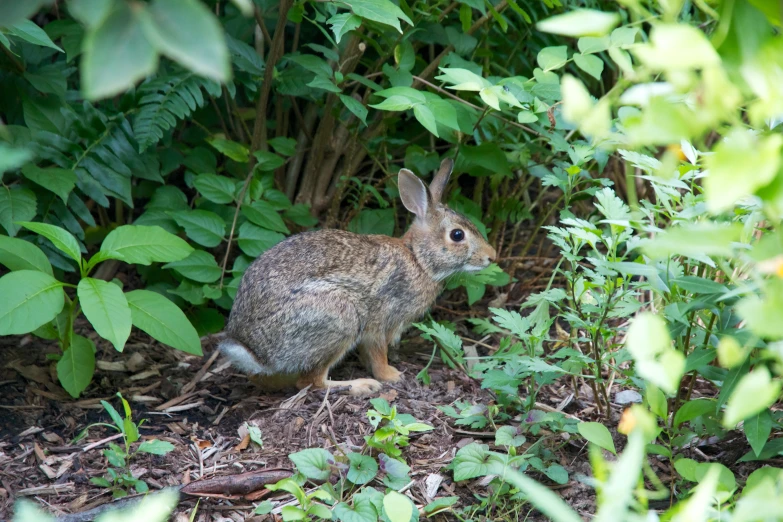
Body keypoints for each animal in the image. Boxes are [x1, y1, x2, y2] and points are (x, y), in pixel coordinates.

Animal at [216, 158, 496, 394]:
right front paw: (391, 375)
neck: (417, 259)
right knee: (311, 382)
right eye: (457, 235)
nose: (491, 256)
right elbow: (378, 352)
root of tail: (256, 351)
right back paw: (362, 385)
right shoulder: (381, 319)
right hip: (340, 316)